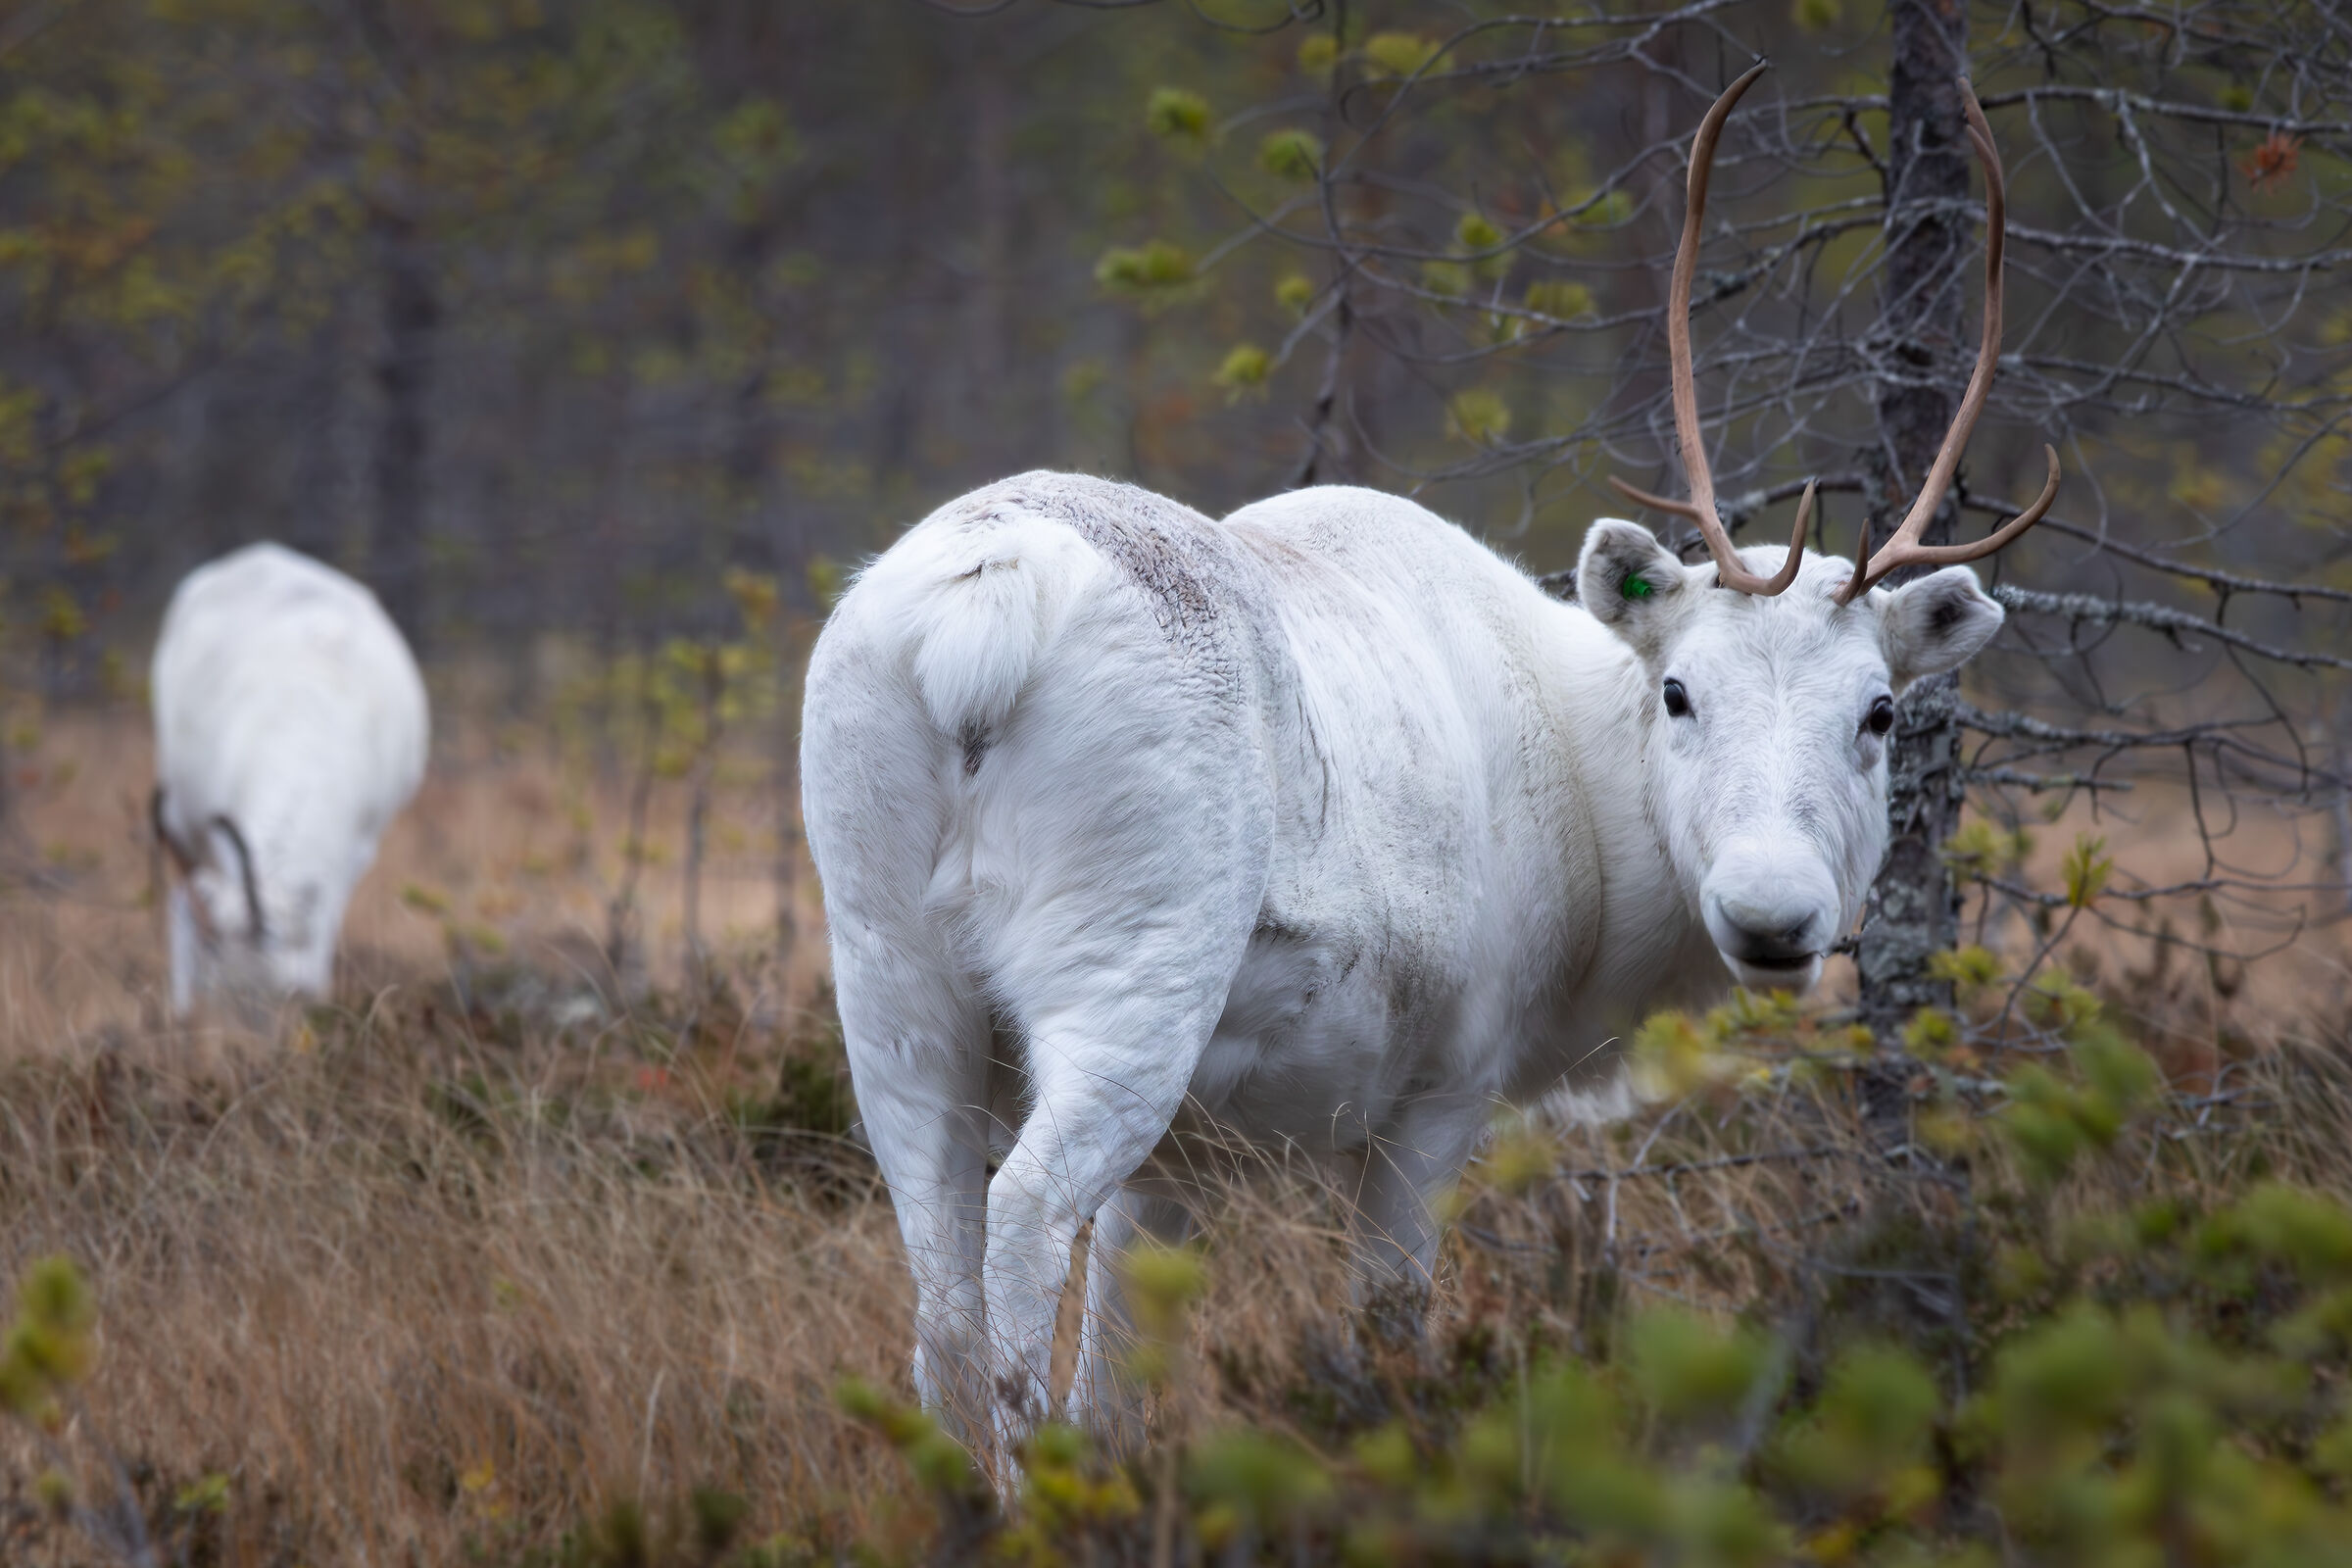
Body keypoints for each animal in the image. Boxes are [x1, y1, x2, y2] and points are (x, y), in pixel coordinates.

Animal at [799, 64, 2058, 1453]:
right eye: (1680, 690)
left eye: (1880, 710)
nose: (1772, 912)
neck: (1597, 865)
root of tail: (977, 612)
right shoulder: (1446, 1087)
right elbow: (1390, 1330)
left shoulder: (1184, 1157)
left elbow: (1121, 1371)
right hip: (1132, 969)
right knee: (1021, 1226)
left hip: (890, 974)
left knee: (939, 1297)